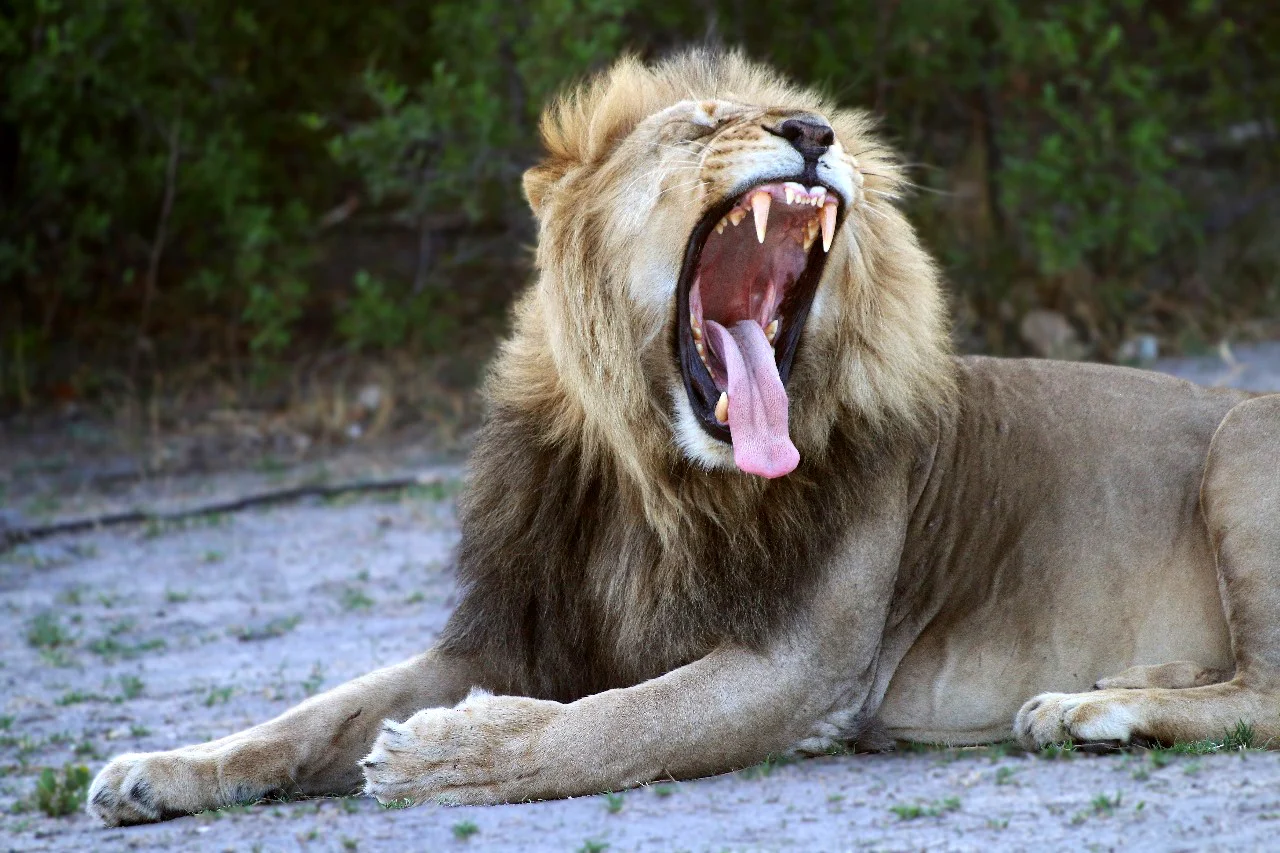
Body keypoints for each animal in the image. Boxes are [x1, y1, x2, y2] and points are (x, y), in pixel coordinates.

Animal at [88, 50, 1280, 826]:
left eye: (803, 119)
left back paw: (1088, 706)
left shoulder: (801, 666)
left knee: (1263, 698)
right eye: (705, 123)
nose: (814, 135)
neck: (655, 483)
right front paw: (161, 765)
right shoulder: (509, 632)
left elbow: (620, 722)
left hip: (1239, 443)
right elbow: (311, 711)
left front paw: (456, 754)